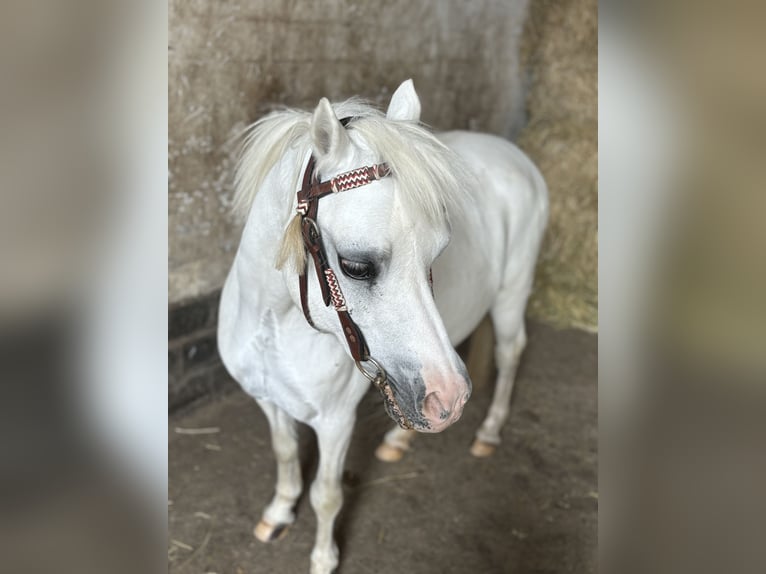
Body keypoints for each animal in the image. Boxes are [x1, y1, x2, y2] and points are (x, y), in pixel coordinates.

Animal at [219, 81, 548, 574]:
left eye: (438, 252)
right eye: (356, 266)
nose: (452, 397)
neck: (274, 323)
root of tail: (515, 155)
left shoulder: (336, 422)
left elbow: (327, 495)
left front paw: (323, 558)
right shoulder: (268, 399)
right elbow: (285, 453)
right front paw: (277, 513)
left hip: (512, 295)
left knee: (510, 353)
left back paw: (488, 432)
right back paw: (400, 438)